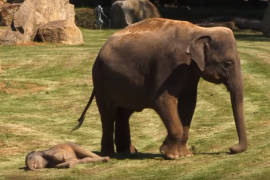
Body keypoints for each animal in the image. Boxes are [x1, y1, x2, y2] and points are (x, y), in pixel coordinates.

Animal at [74, 17, 247, 159]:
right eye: (228, 63)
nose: (231, 148)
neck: (199, 30)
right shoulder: (169, 66)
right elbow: (163, 100)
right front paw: (170, 155)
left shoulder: (189, 73)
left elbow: (189, 104)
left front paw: (184, 154)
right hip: (101, 80)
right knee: (108, 114)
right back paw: (109, 154)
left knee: (123, 113)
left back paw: (128, 152)